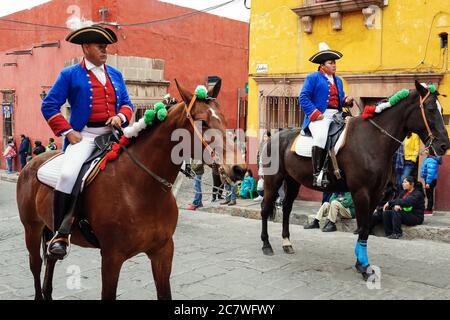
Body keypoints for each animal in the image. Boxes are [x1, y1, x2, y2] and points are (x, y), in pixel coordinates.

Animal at [16, 80, 246, 300]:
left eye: (224, 119)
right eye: (202, 122)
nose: (238, 168)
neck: (142, 189)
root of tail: (32, 162)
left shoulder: (163, 252)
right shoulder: (111, 257)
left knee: (50, 263)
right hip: (32, 228)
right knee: (36, 265)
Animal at [260, 81, 450, 278]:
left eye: (441, 109)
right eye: (430, 108)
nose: (444, 145)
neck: (372, 139)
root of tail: (274, 137)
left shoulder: (375, 194)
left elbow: (365, 229)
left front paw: (361, 263)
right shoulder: (361, 193)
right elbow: (363, 227)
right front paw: (363, 266)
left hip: (292, 181)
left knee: (287, 209)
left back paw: (286, 243)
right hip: (272, 181)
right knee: (265, 209)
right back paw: (266, 245)